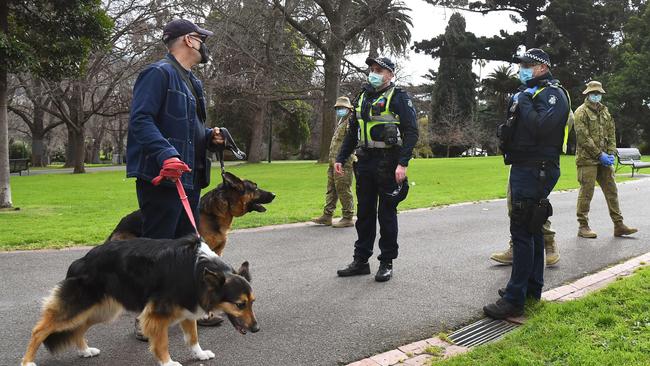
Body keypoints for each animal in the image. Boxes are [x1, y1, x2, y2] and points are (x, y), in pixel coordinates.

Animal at [21, 234, 256, 366]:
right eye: (240, 305)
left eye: (252, 302)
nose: (256, 329)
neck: (197, 271)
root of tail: (81, 260)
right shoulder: (156, 315)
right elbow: (161, 343)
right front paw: (167, 362)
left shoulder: (187, 307)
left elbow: (192, 337)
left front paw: (199, 354)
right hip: (79, 304)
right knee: (40, 330)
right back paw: (28, 361)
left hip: (101, 310)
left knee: (78, 327)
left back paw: (84, 350)